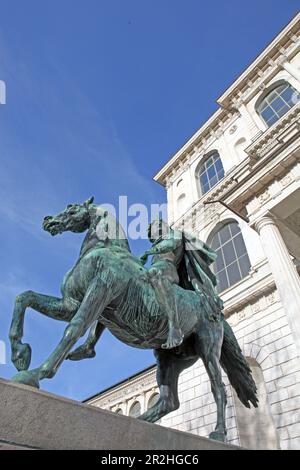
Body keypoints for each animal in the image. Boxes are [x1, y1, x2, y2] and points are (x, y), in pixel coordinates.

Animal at [9, 196, 258, 442]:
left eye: (72, 208)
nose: (48, 221)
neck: (105, 250)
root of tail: (214, 309)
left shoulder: (100, 290)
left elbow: (74, 327)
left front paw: (36, 374)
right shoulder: (70, 303)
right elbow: (24, 298)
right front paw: (21, 354)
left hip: (208, 349)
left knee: (218, 388)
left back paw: (218, 433)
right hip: (170, 359)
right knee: (168, 401)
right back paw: (139, 422)